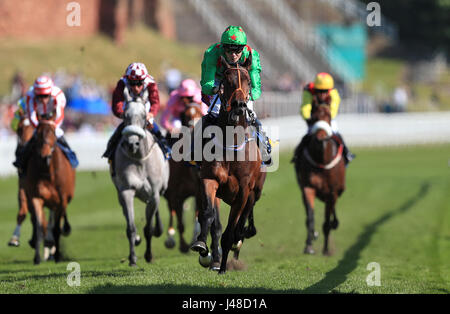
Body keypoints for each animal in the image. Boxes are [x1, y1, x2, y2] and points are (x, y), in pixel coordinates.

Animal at [23, 111, 75, 264]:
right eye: (38, 133)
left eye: (52, 131)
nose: (44, 154)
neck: (48, 172)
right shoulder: (36, 197)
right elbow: (40, 226)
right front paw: (37, 258)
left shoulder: (62, 200)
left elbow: (57, 228)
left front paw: (57, 256)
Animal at [111, 92, 170, 266]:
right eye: (125, 115)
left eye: (144, 116)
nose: (132, 144)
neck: (139, 160)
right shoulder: (126, 191)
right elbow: (130, 227)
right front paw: (132, 258)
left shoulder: (154, 193)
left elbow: (148, 229)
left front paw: (149, 255)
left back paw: (159, 229)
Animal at [163, 103, 204, 253]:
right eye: (185, 116)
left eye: (200, 113)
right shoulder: (175, 193)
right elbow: (180, 222)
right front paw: (183, 245)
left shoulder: (198, 191)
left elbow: (198, 217)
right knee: (172, 210)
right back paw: (170, 238)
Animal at [191, 55, 268, 274]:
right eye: (227, 80)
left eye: (248, 81)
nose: (240, 105)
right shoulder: (209, 179)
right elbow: (208, 214)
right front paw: (201, 245)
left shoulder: (243, 191)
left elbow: (230, 230)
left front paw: (224, 266)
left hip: (255, 192)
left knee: (242, 221)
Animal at [294, 103, 346, 255]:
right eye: (314, 116)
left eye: (328, 116)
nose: (321, 138)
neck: (321, 159)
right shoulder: (308, 188)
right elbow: (310, 218)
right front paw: (309, 246)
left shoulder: (332, 193)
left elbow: (327, 223)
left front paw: (326, 249)